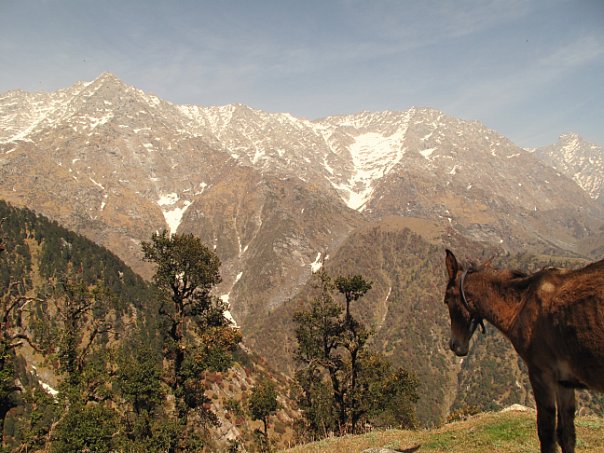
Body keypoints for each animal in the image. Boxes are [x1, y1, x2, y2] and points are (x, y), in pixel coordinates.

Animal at [443, 249, 604, 453]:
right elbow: (566, 435)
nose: (455, 345)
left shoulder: (541, 373)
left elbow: (546, 434)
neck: (520, 304)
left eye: (447, 300)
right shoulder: (564, 381)